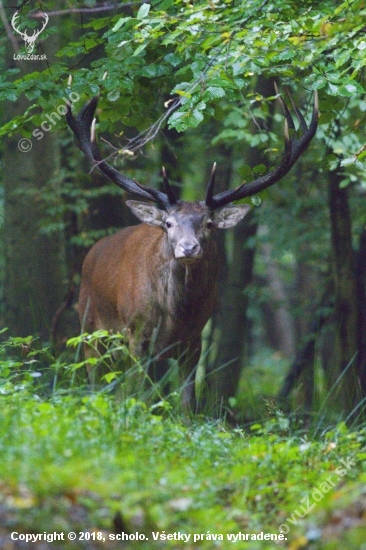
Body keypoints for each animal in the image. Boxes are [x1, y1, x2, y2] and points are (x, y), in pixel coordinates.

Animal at [67, 85, 318, 410]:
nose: (189, 248)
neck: (177, 314)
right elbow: (138, 395)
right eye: (168, 223)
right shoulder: (137, 334)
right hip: (89, 328)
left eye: (209, 223)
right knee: (98, 382)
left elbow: (187, 405)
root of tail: (92, 254)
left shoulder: (194, 342)